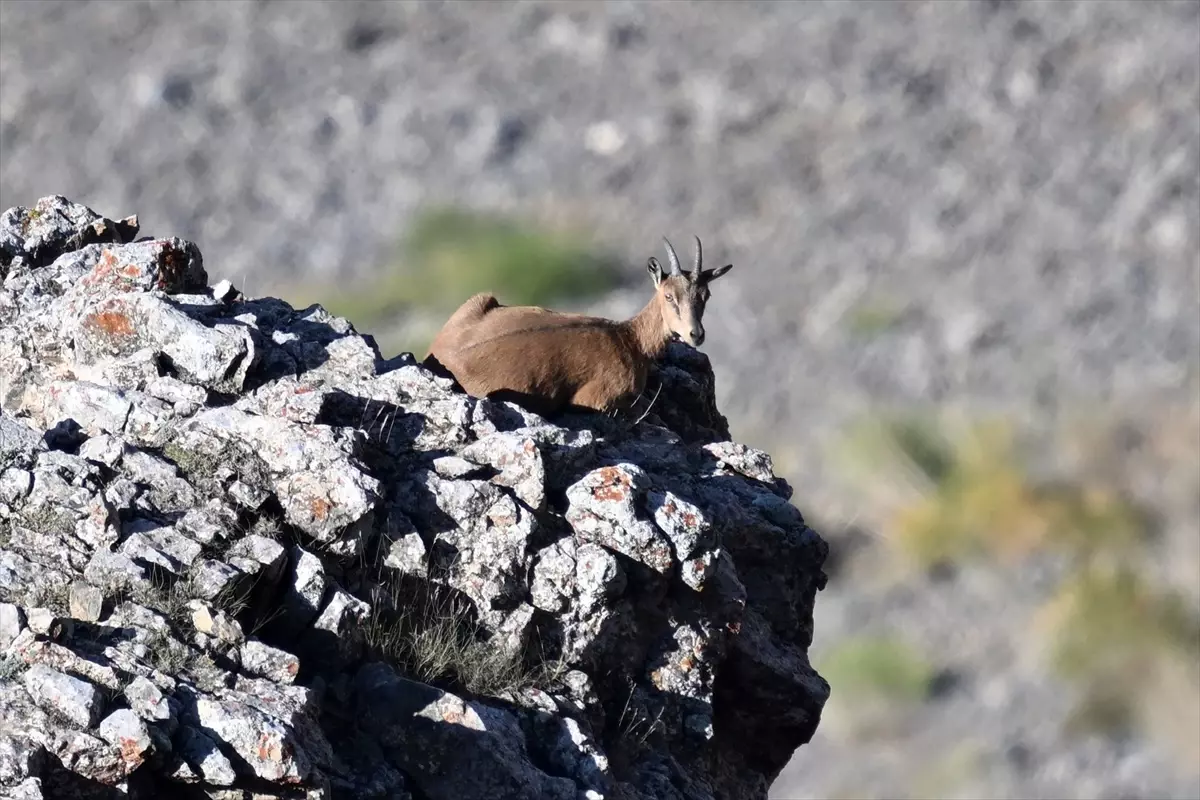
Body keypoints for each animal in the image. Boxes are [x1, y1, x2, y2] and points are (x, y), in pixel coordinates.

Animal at [427, 236, 734, 412]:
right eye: (669, 296)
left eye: (705, 295)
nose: (696, 334)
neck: (630, 340)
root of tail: (439, 353)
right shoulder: (595, 400)